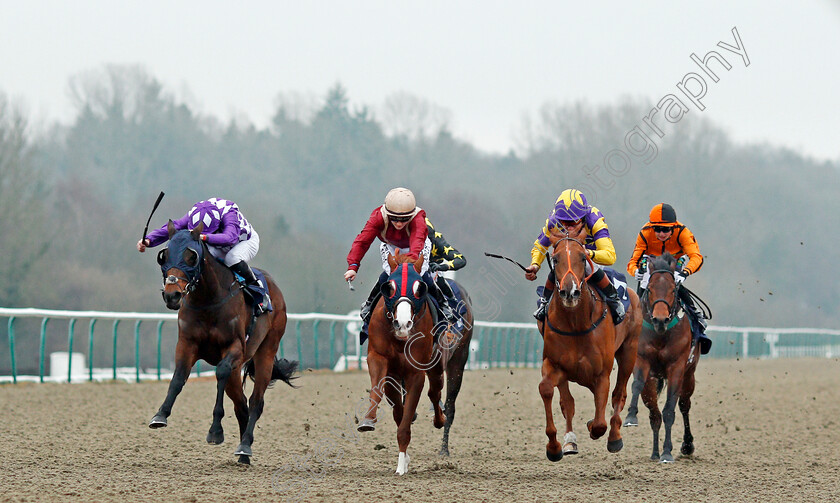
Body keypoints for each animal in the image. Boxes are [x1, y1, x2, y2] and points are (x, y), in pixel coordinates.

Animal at [148, 222, 298, 466]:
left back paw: (245, 445)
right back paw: (243, 452)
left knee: (255, 402)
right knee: (241, 404)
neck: (208, 300)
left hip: (266, 351)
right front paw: (160, 415)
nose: (172, 295)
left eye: (191, 256)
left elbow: (220, 372)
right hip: (238, 371)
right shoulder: (187, 344)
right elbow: (178, 377)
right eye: (165, 255)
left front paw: (215, 431)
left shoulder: (234, 347)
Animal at [358, 252, 452, 476]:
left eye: (420, 288)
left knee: (434, 392)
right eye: (389, 287)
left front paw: (401, 465)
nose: (402, 324)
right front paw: (368, 421)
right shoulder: (381, 361)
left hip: (436, 367)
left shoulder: (415, 373)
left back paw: (440, 419)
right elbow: (386, 398)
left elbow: (406, 419)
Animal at [540, 226, 644, 462]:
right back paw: (570, 441)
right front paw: (554, 446)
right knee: (568, 402)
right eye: (555, 259)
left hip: (629, 352)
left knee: (619, 395)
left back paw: (615, 437)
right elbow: (548, 391)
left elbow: (599, 423)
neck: (576, 324)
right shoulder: (554, 364)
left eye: (582, 257)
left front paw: (596, 429)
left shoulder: (601, 374)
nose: (570, 292)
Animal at [620, 254, 700, 462]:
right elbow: (638, 386)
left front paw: (667, 452)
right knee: (654, 414)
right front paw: (631, 416)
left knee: (684, 406)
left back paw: (686, 445)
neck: (660, 334)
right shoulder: (642, 361)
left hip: (689, 375)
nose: (660, 320)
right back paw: (655, 452)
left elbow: (670, 410)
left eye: (673, 289)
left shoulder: (677, 367)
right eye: (650, 289)